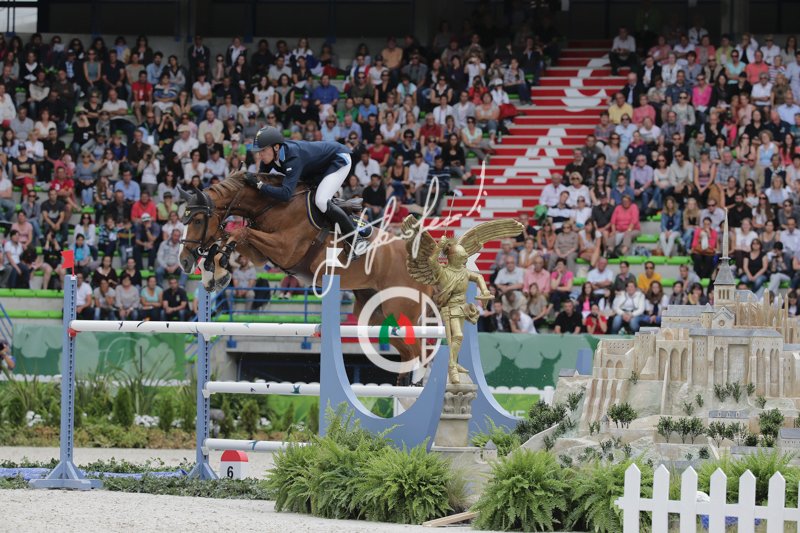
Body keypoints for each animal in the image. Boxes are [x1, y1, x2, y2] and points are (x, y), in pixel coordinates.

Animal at [177, 171, 436, 379]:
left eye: (198, 220)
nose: (184, 261)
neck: (272, 205)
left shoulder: (285, 249)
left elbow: (240, 233)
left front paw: (216, 269)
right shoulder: (260, 254)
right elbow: (229, 237)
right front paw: (213, 273)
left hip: (400, 311)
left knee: (420, 354)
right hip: (378, 316)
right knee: (409, 354)